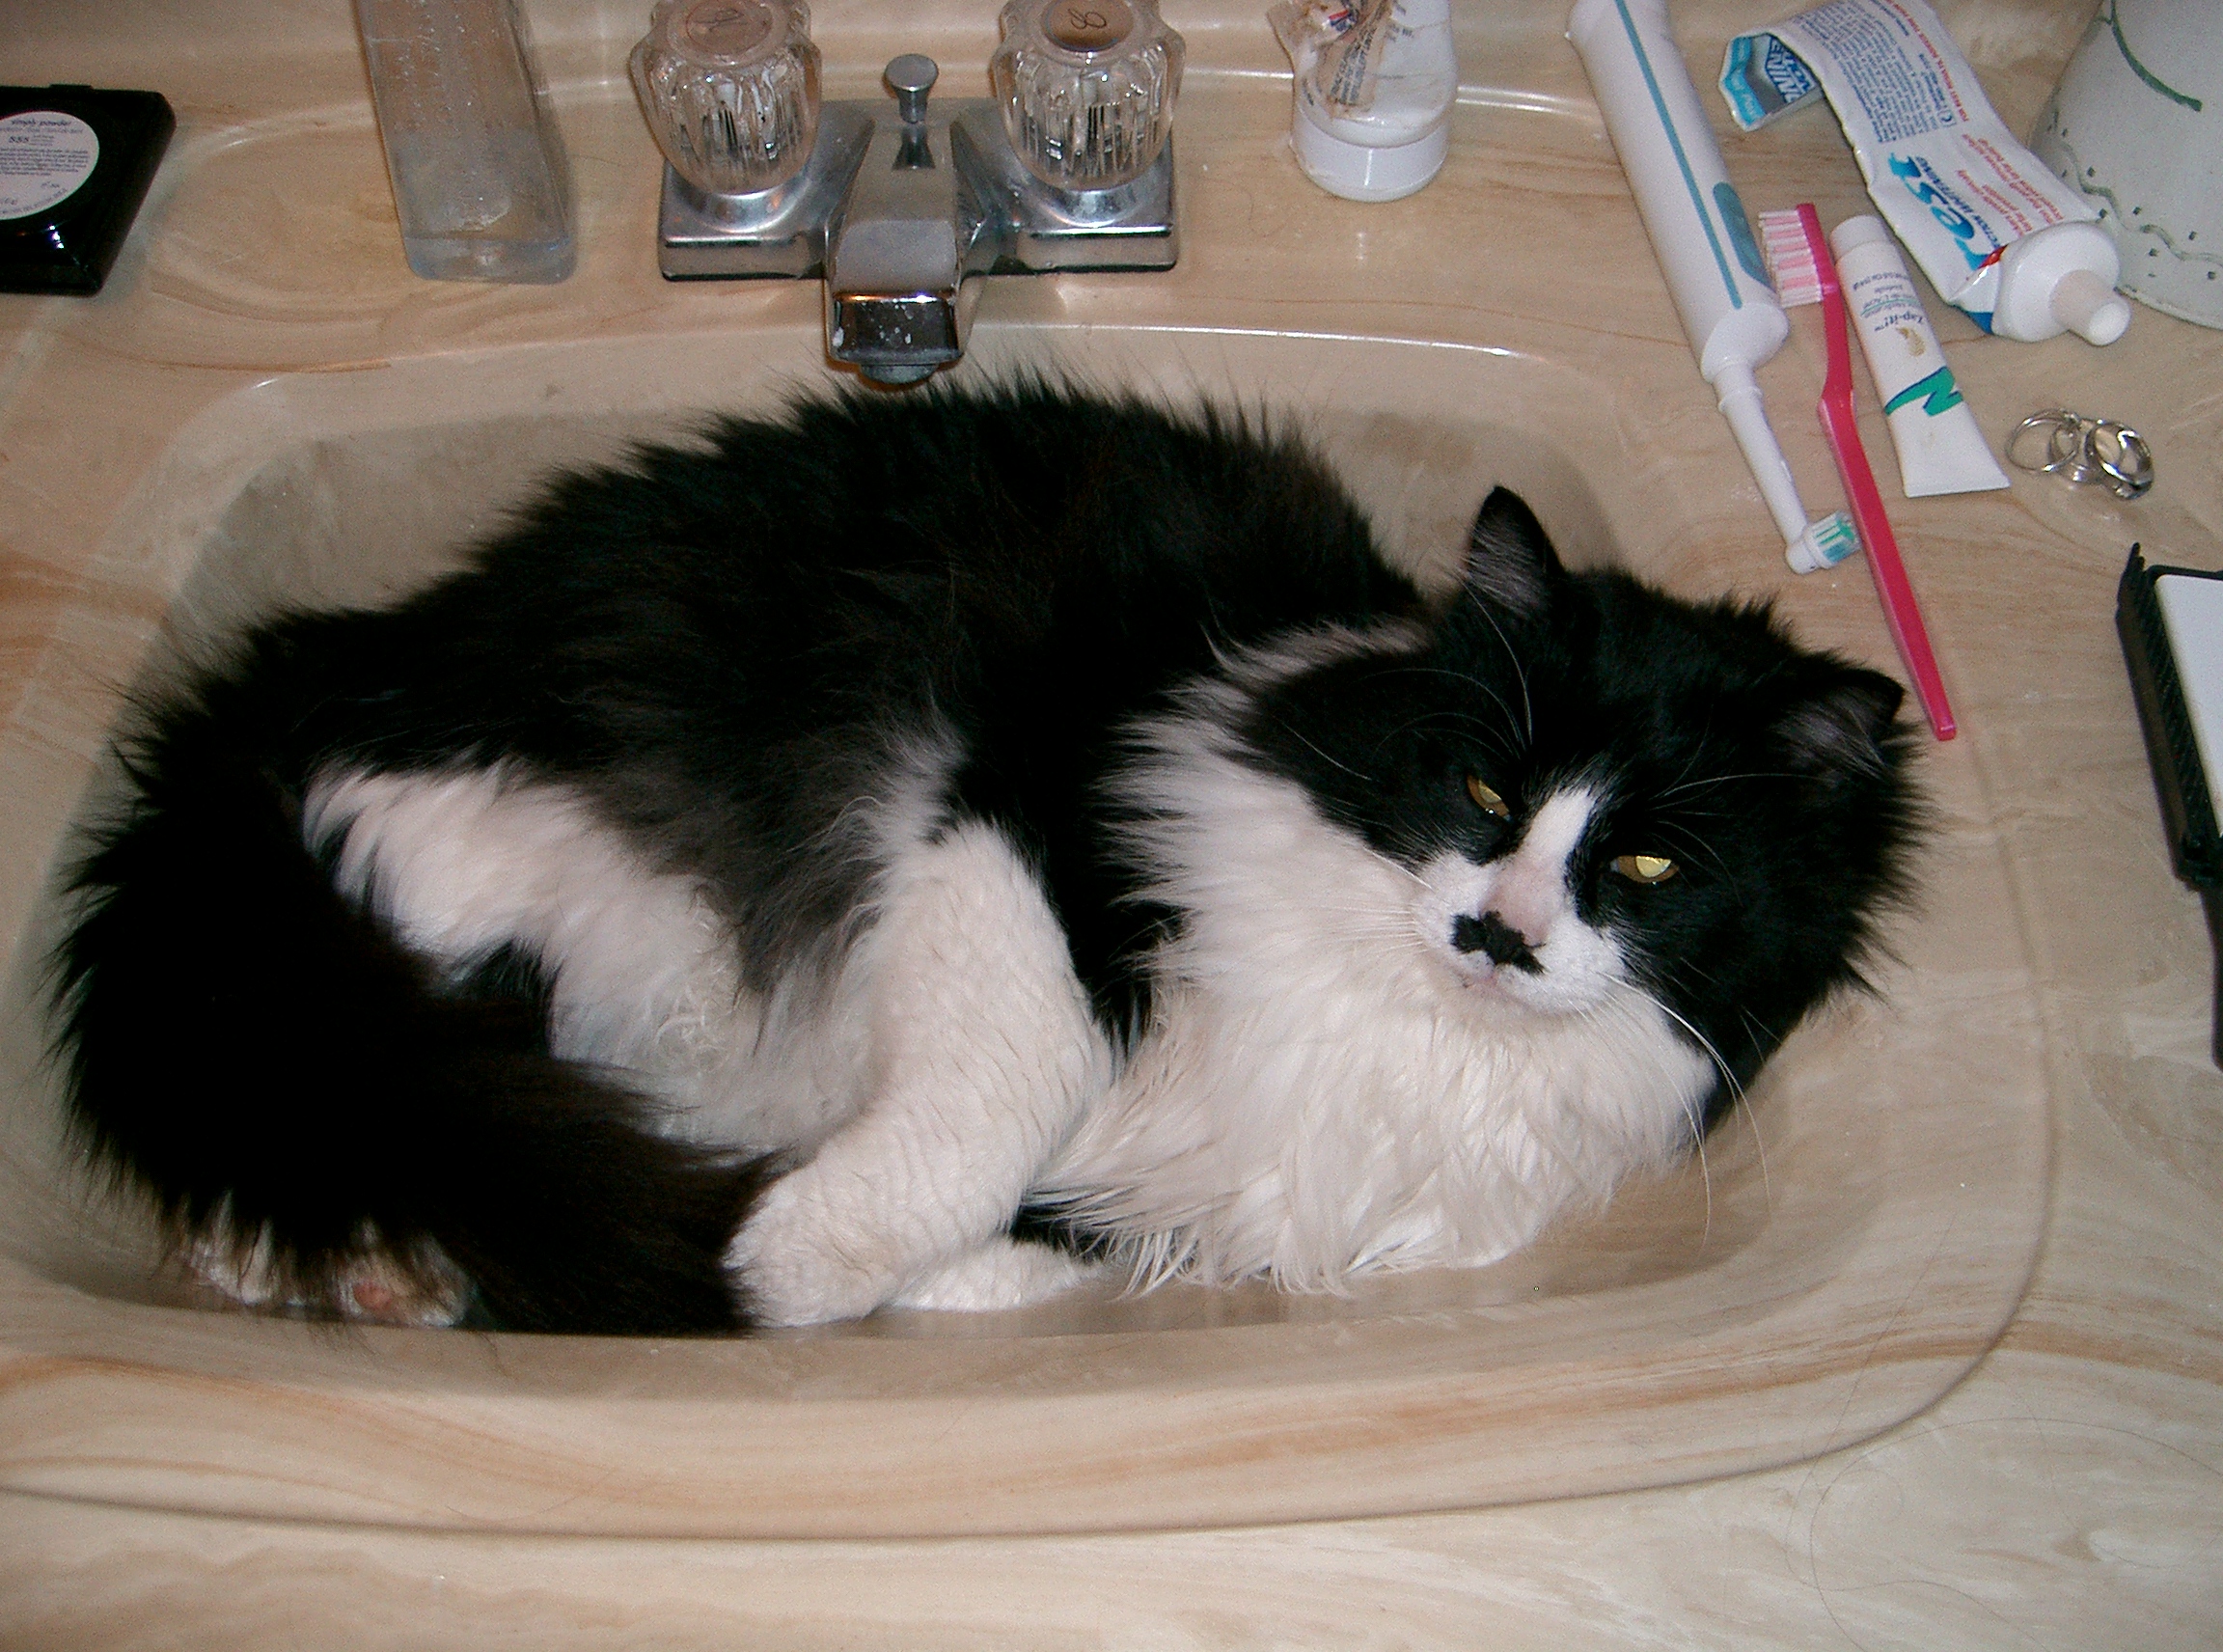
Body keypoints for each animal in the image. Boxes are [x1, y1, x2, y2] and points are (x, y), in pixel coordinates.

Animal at [52, 380, 1929, 1334]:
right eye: (1480, 784)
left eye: (1648, 873)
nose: (1499, 932)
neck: (1410, 1032)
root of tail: (342, 646)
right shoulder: (1003, 816)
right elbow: (995, 1104)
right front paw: (779, 1264)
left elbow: (1040, 1226)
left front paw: (917, 1264)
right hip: (513, 857)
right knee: (386, 1059)